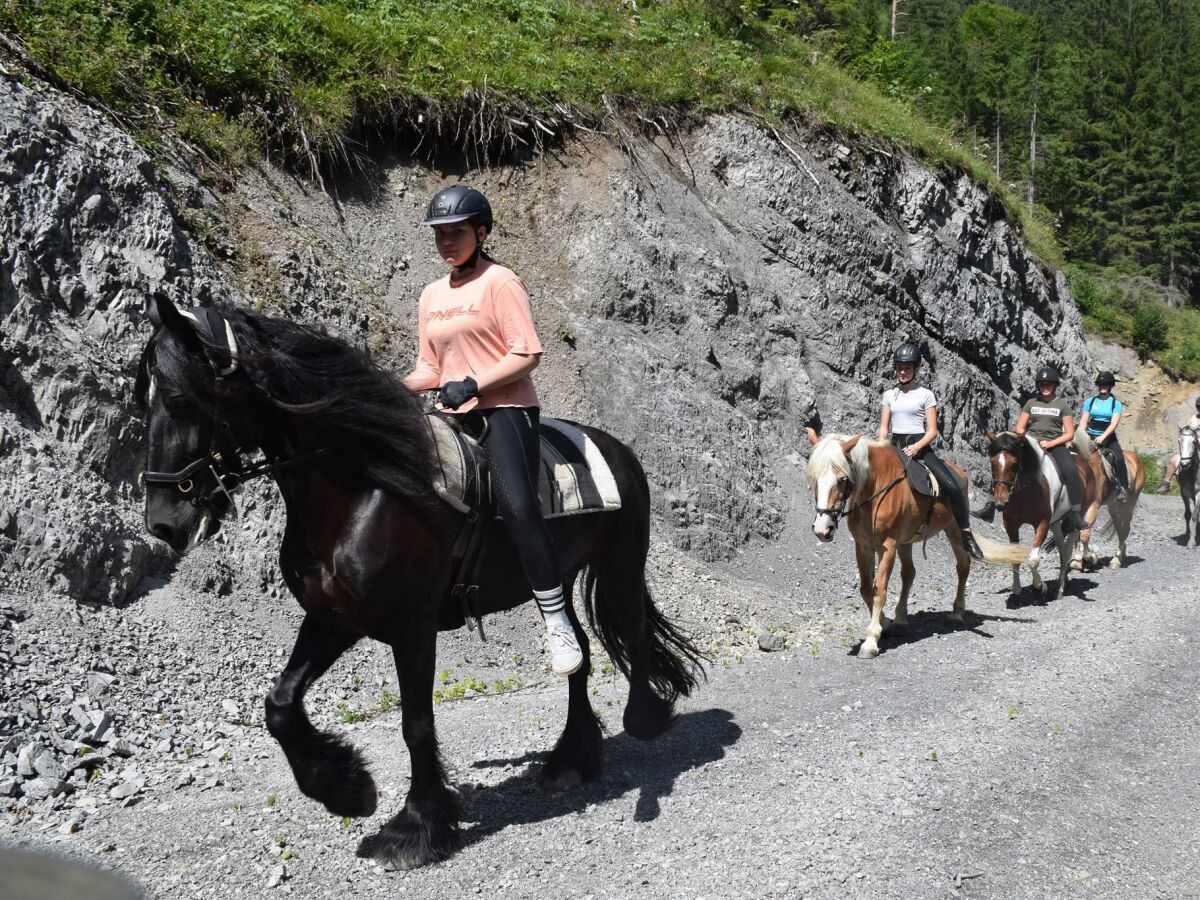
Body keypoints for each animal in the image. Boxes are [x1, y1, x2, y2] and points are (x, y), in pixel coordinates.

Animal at [137, 296, 700, 868]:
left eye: (180, 397)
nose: (162, 522)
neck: (364, 489)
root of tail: (618, 449)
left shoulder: (413, 628)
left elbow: (416, 723)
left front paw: (417, 826)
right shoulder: (332, 618)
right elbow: (280, 705)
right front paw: (348, 790)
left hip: (620, 566)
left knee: (633, 632)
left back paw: (643, 719)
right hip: (559, 582)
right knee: (579, 652)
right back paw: (571, 759)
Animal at [801, 427, 1027, 657]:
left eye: (842, 479)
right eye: (814, 479)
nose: (822, 529)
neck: (875, 490)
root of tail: (959, 472)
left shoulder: (887, 547)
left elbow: (879, 590)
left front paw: (871, 640)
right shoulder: (863, 546)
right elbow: (866, 588)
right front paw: (886, 623)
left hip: (952, 529)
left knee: (963, 565)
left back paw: (956, 612)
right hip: (906, 542)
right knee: (909, 573)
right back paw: (901, 620)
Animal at [984, 429, 1099, 600]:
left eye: (1014, 463)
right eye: (992, 462)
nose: (1000, 502)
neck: (1026, 490)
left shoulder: (1042, 523)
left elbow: (1033, 559)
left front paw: (1039, 587)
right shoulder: (1011, 524)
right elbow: (1014, 556)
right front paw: (1016, 591)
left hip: (1075, 519)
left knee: (1067, 551)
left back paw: (1060, 589)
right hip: (1055, 523)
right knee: (1061, 549)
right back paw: (1062, 580)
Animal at [1075, 432, 1147, 571]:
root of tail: (1137, 459)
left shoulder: (1093, 506)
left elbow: (1084, 534)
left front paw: (1089, 559)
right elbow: (1077, 532)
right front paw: (1076, 561)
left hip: (1129, 504)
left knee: (1125, 529)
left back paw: (1116, 560)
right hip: (1113, 506)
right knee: (1119, 527)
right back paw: (1121, 554)